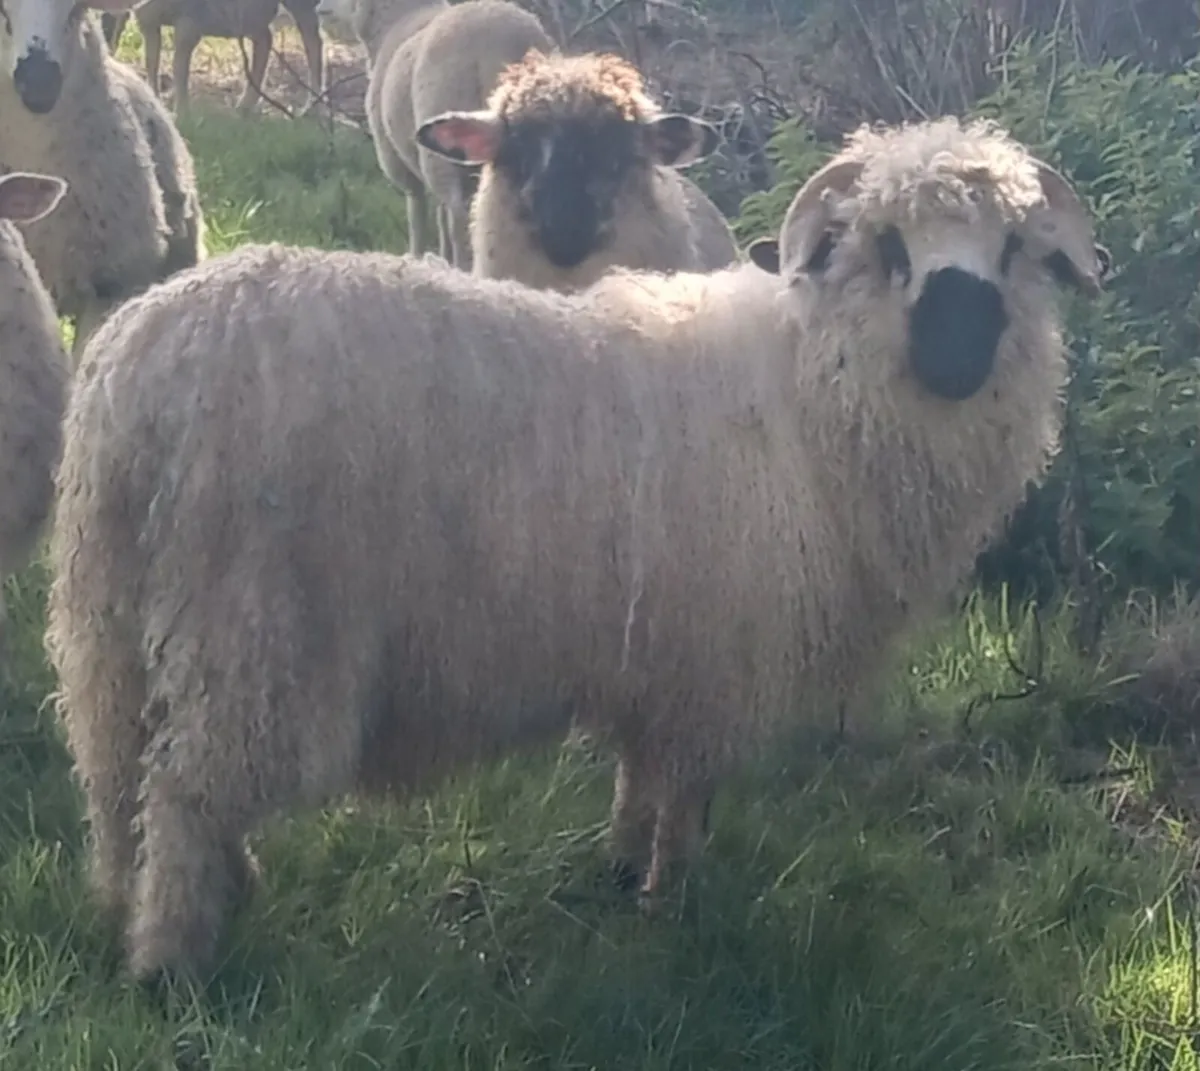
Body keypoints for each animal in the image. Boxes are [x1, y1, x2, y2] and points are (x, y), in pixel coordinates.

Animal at [47, 116, 1105, 985]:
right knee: (187, 792)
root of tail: (140, 372)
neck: (809, 396)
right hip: (253, 624)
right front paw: (671, 906)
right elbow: (683, 792)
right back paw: (175, 963)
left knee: (117, 771)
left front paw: (620, 869)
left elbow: (639, 775)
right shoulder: (711, 658)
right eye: (888, 247)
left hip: (114, 621)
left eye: (1016, 250)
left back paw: (144, 902)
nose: (960, 353)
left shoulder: (656, 654)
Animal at [129, 0, 327, 117]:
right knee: (264, 39)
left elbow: (179, 68)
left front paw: (182, 114)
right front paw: (153, 103)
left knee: (312, 40)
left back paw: (313, 105)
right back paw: (245, 106)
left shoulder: (189, 23)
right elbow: (151, 64)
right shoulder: (147, 21)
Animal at [326, 0, 553, 268]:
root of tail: (500, 44)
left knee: (459, 216)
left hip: (442, 142)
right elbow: (439, 214)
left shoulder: (399, 159)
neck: (395, 21)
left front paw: (417, 256)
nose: (320, 9)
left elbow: (417, 211)